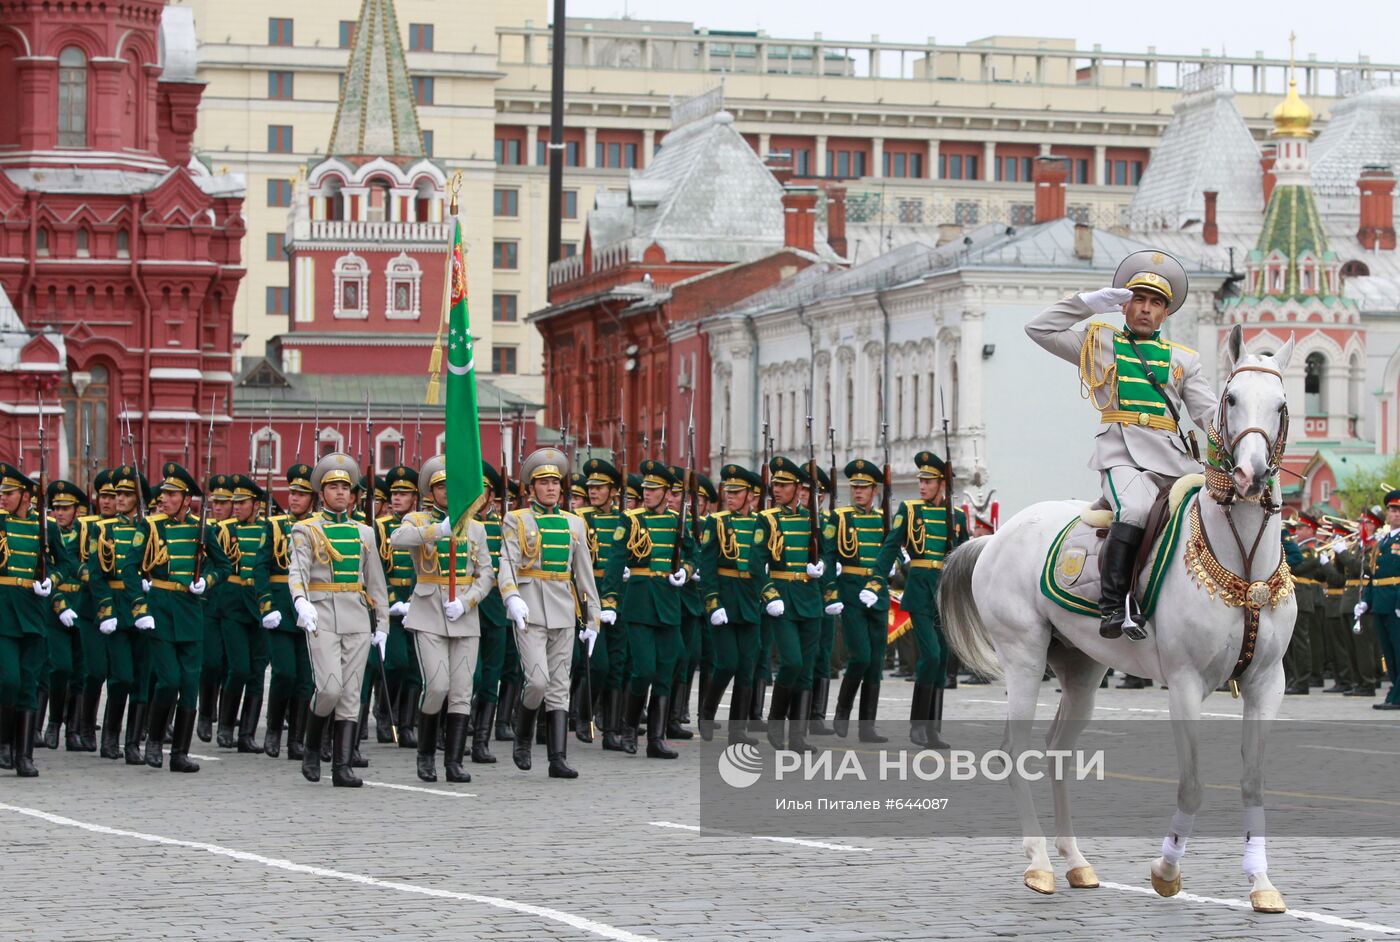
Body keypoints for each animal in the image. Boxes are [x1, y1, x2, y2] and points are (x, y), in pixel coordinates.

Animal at [940, 327, 1299, 912]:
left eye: (1282, 404)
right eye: (1230, 399)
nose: (1250, 476)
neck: (1244, 566)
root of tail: (996, 535)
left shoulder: (1268, 683)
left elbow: (1253, 783)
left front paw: (1262, 884)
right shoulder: (1185, 684)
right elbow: (1192, 786)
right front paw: (1165, 871)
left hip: (1082, 669)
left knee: (1058, 754)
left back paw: (1076, 862)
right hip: (1024, 656)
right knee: (1015, 752)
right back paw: (1039, 865)